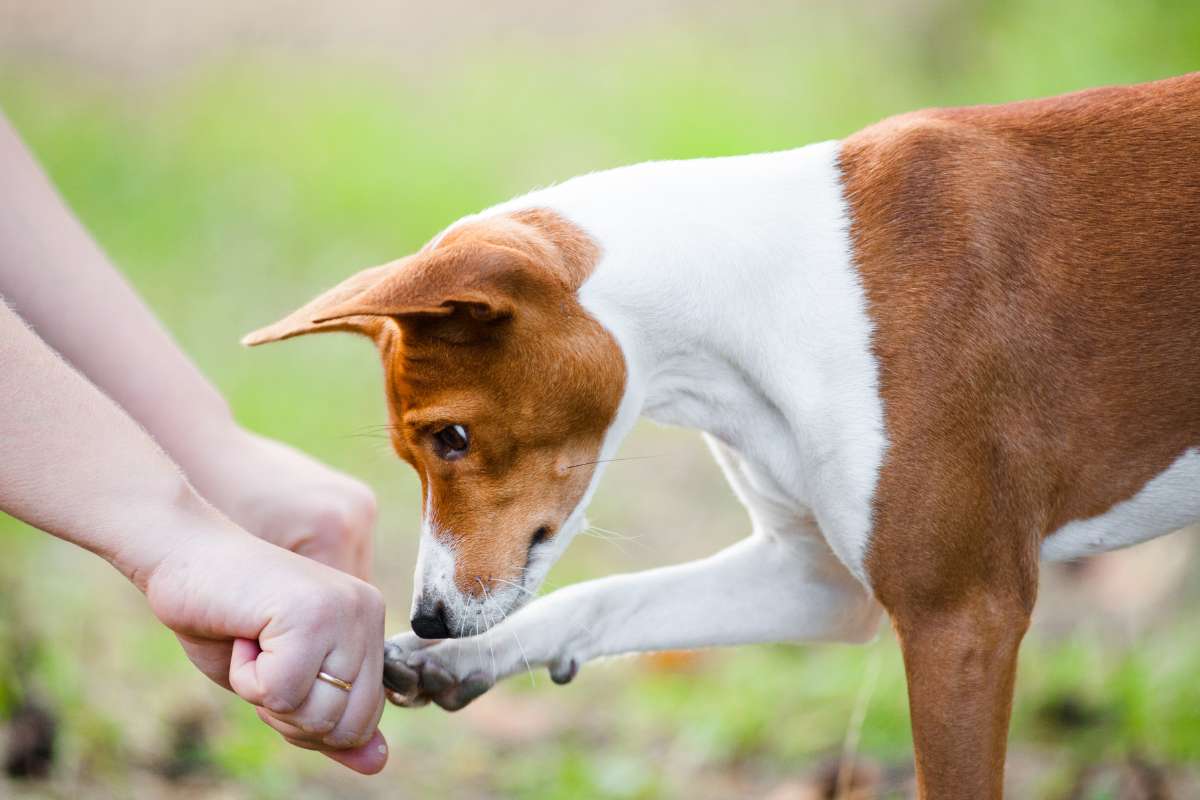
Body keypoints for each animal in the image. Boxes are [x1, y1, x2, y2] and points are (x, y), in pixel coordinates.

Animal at [246, 73, 1200, 796]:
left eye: (450, 437)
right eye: (416, 452)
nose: (433, 618)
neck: (763, 292)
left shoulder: (962, 615)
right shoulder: (818, 583)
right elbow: (610, 598)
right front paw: (471, 659)